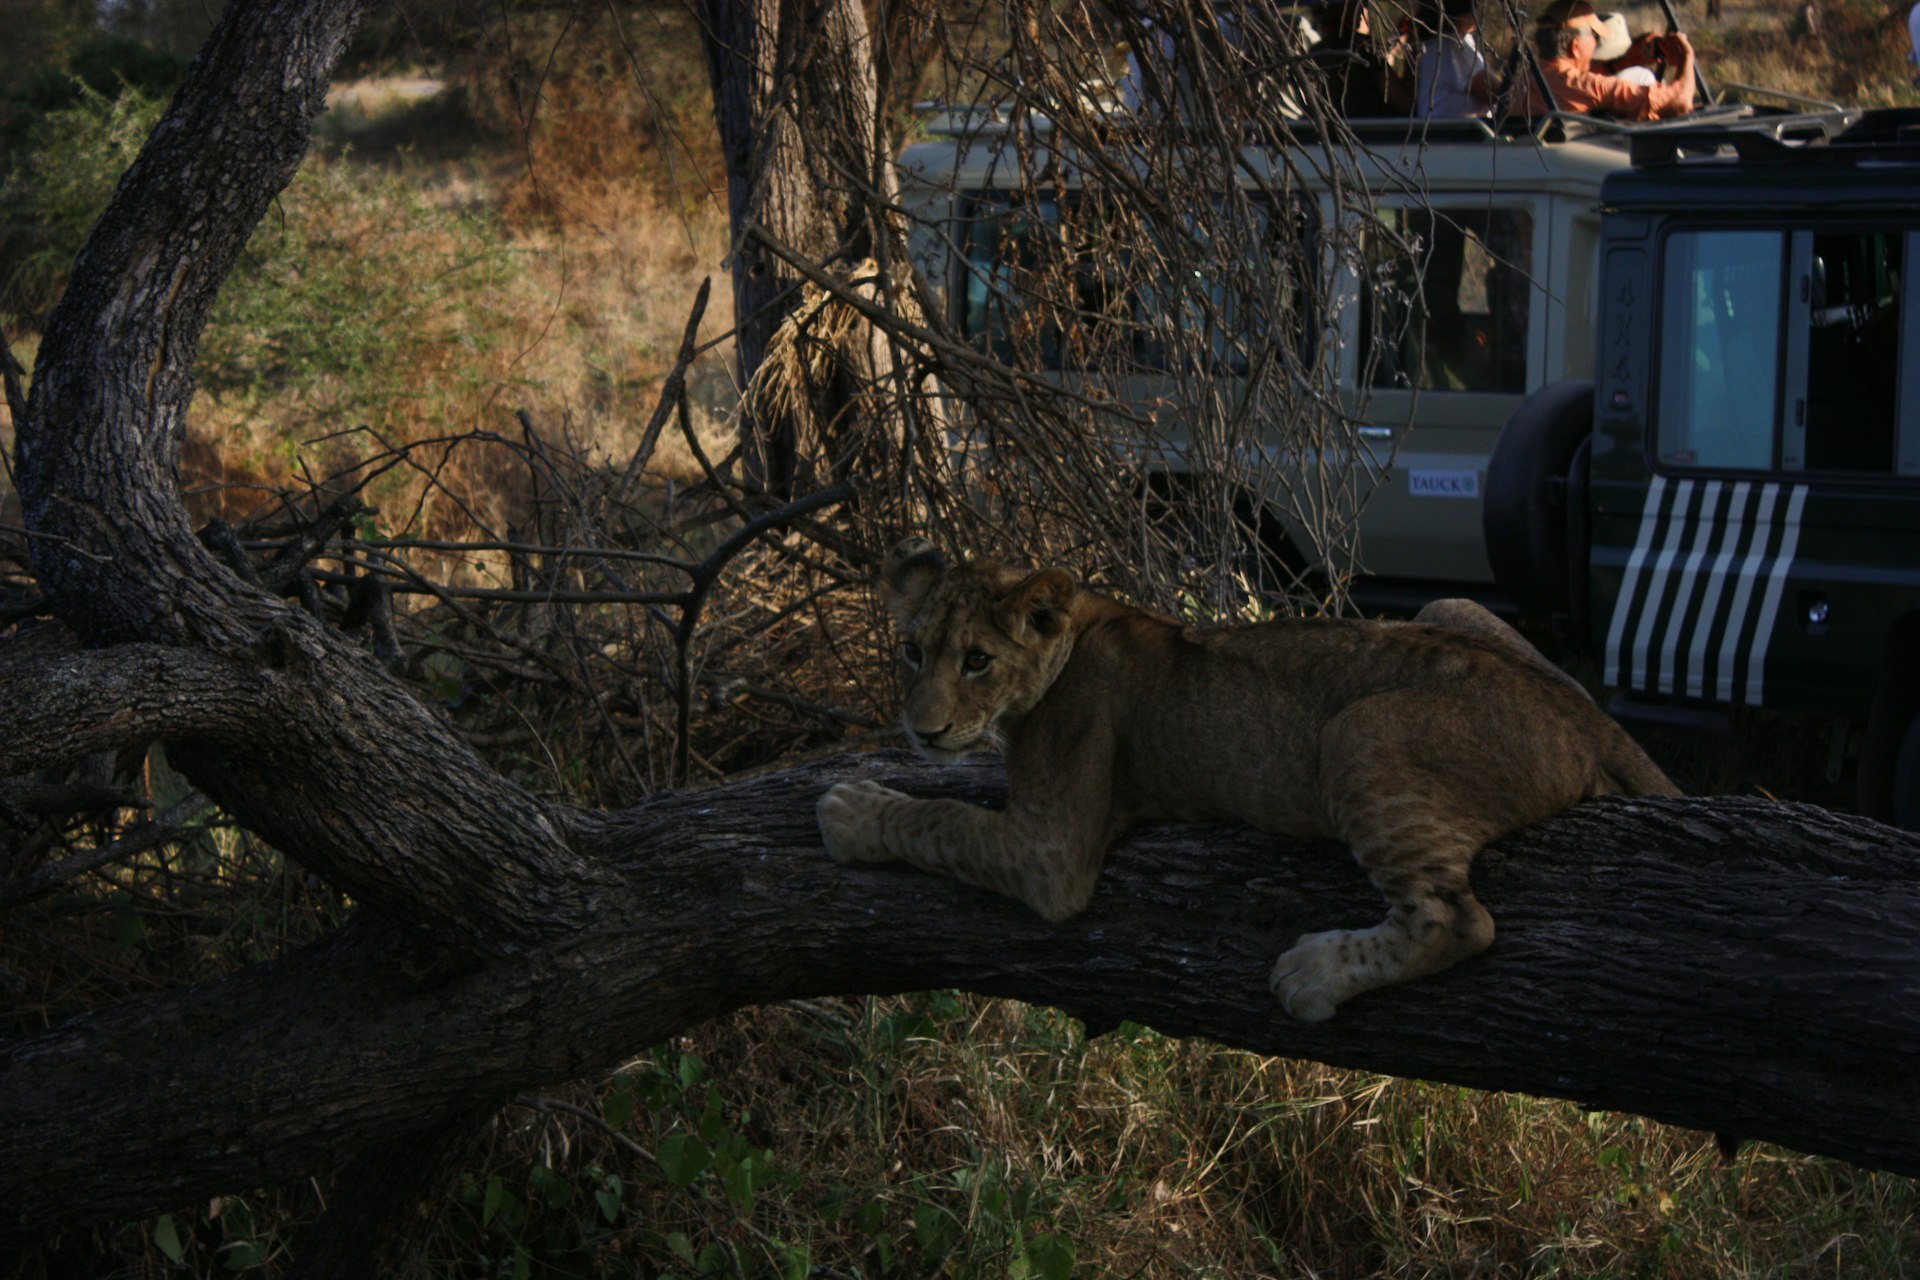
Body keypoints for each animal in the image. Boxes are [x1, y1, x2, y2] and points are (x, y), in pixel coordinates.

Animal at [818, 538, 1680, 1021]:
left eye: (977, 660)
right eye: (912, 652)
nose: (921, 729)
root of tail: (1584, 717)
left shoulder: (1051, 854)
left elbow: (940, 821)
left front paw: (851, 811)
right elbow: (952, 807)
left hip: (1358, 732)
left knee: (1458, 921)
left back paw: (1312, 975)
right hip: (1452, 606)